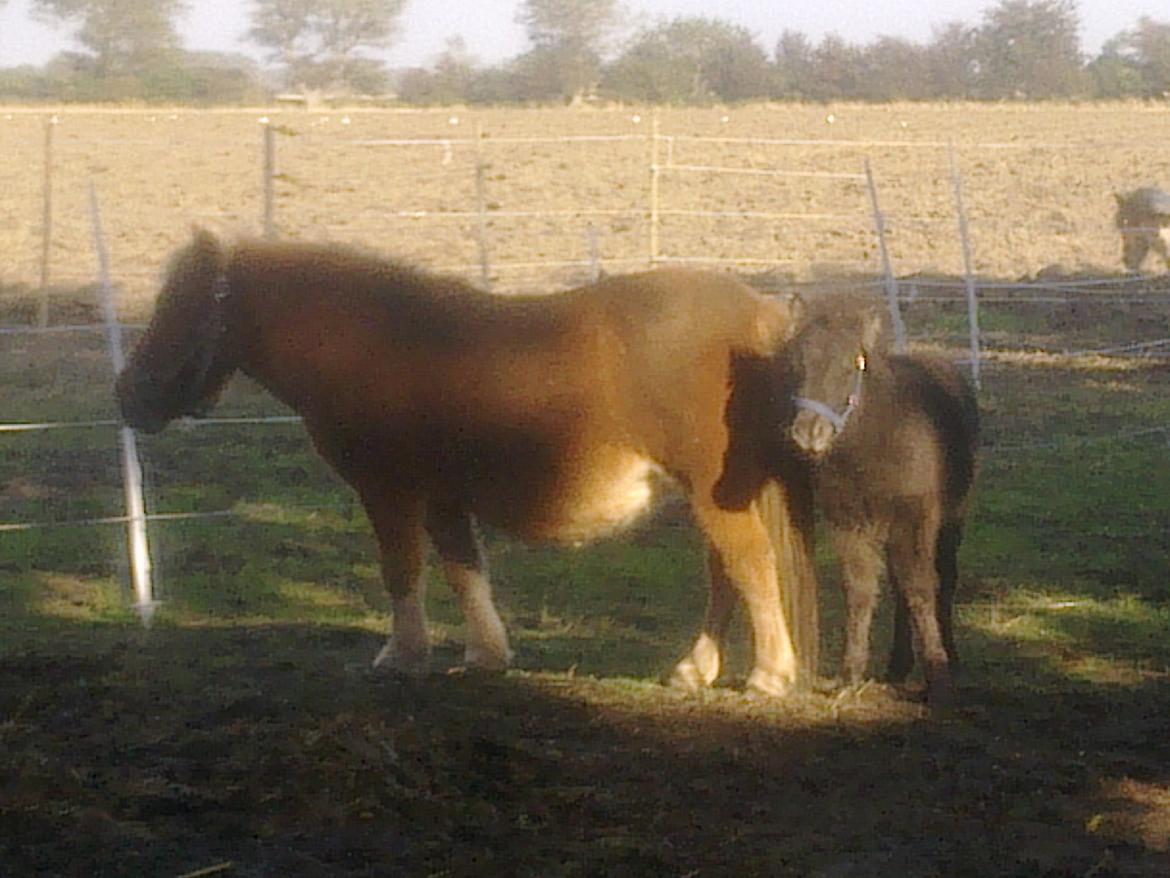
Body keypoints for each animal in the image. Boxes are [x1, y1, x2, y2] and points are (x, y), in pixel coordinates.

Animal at [118, 230, 814, 697]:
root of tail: (762, 313)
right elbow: (463, 570)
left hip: (712, 493)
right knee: (726, 576)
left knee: (749, 566)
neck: (374, 342)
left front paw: (402, 655)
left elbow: (402, 570)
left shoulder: (389, 491)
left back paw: (770, 675)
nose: (127, 395)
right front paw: (485, 655)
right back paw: (696, 669)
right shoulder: (442, 497)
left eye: (181, 306)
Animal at [786, 296, 978, 707]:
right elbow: (860, 590)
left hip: (951, 519)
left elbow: (921, 588)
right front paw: (850, 674)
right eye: (796, 361)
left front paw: (938, 678)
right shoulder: (848, 525)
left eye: (854, 363)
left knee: (944, 578)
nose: (810, 432)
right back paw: (898, 664)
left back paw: (951, 659)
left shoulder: (915, 520)